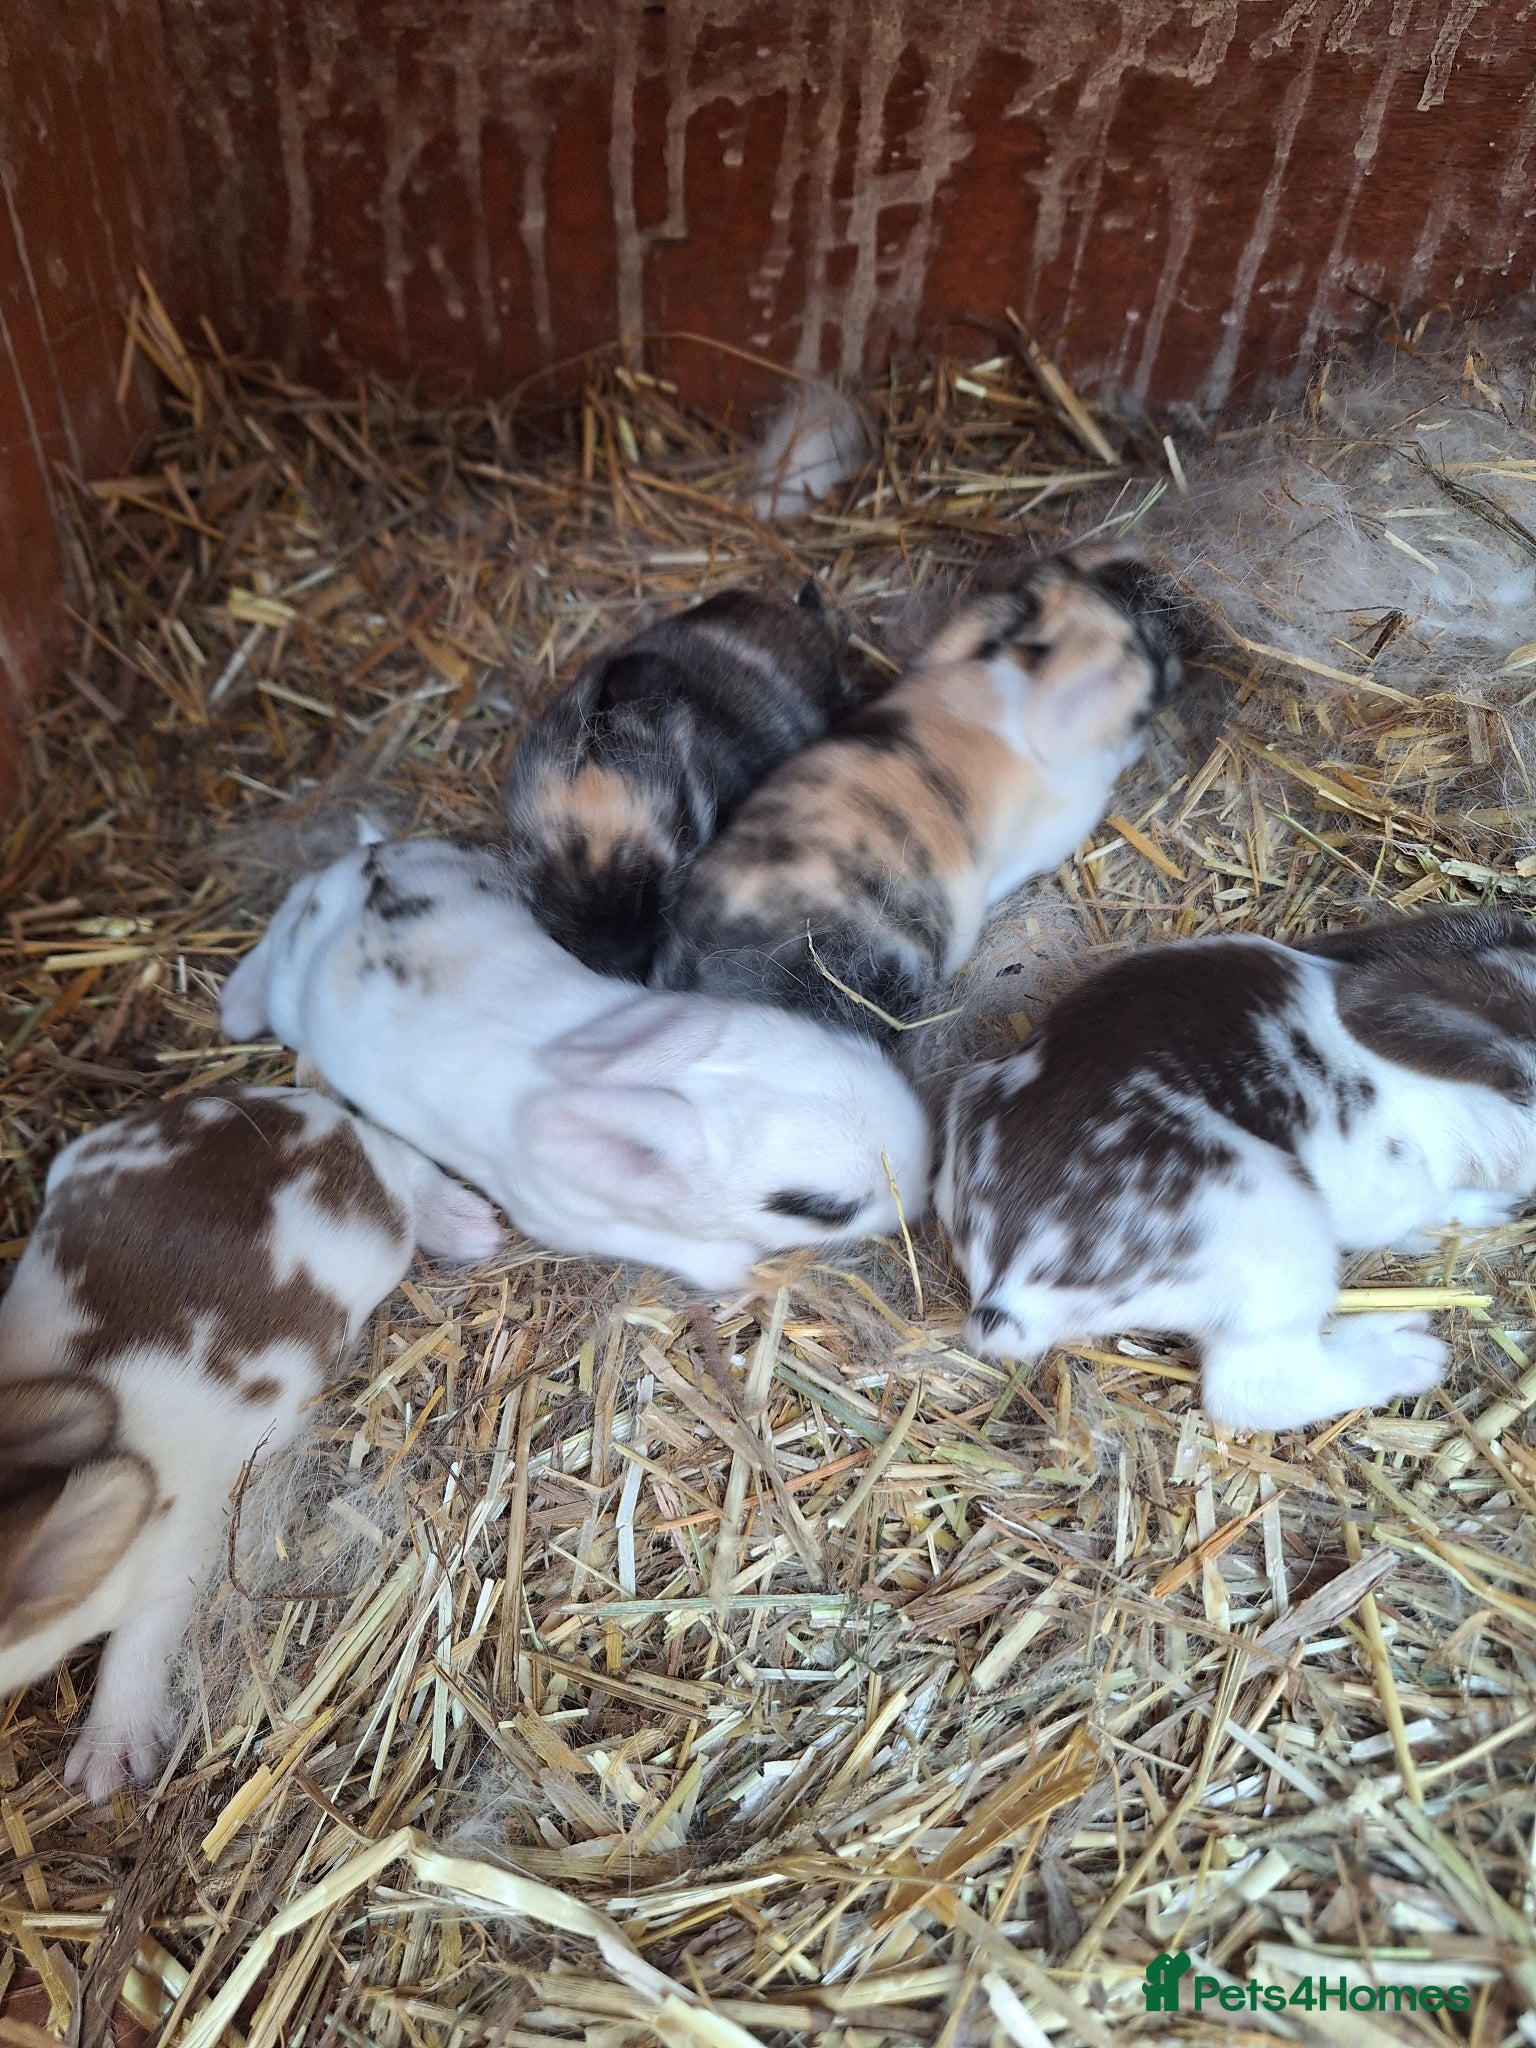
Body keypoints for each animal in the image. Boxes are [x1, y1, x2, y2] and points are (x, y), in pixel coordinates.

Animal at [0, 1086, 502, 1802]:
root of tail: (303, 1112)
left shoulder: (178, 1564)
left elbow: (138, 1644)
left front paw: (108, 1763)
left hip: (379, 1219)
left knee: (405, 1161)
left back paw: (471, 1226)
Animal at [219, 835, 931, 1295]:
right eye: (821, 1209)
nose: (924, 1185)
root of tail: (363, 869)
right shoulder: (564, 1220)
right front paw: (734, 1268)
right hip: (292, 992)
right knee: (285, 917)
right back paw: (236, 1008)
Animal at [935, 909, 1536, 1434]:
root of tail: (1009, 1284)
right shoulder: (1389, 1190)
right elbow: (1425, 1214)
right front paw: (1489, 1213)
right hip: (1281, 1246)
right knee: (1254, 1390)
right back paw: (1407, 1349)